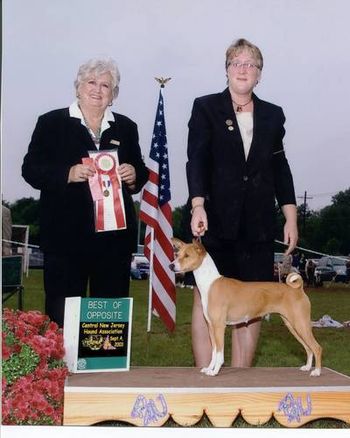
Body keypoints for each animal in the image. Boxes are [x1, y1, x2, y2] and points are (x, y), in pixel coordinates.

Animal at [170, 240, 322, 376]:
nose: (171, 265)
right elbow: (213, 352)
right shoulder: (211, 326)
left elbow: (220, 354)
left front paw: (215, 371)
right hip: (292, 325)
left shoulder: (219, 326)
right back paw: (307, 367)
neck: (210, 283)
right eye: (177, 254)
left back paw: (317, 371)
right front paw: (209, 368)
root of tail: (298, 289)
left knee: (316, 347)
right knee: (308, 348)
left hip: (301, 324)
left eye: (187, 255)